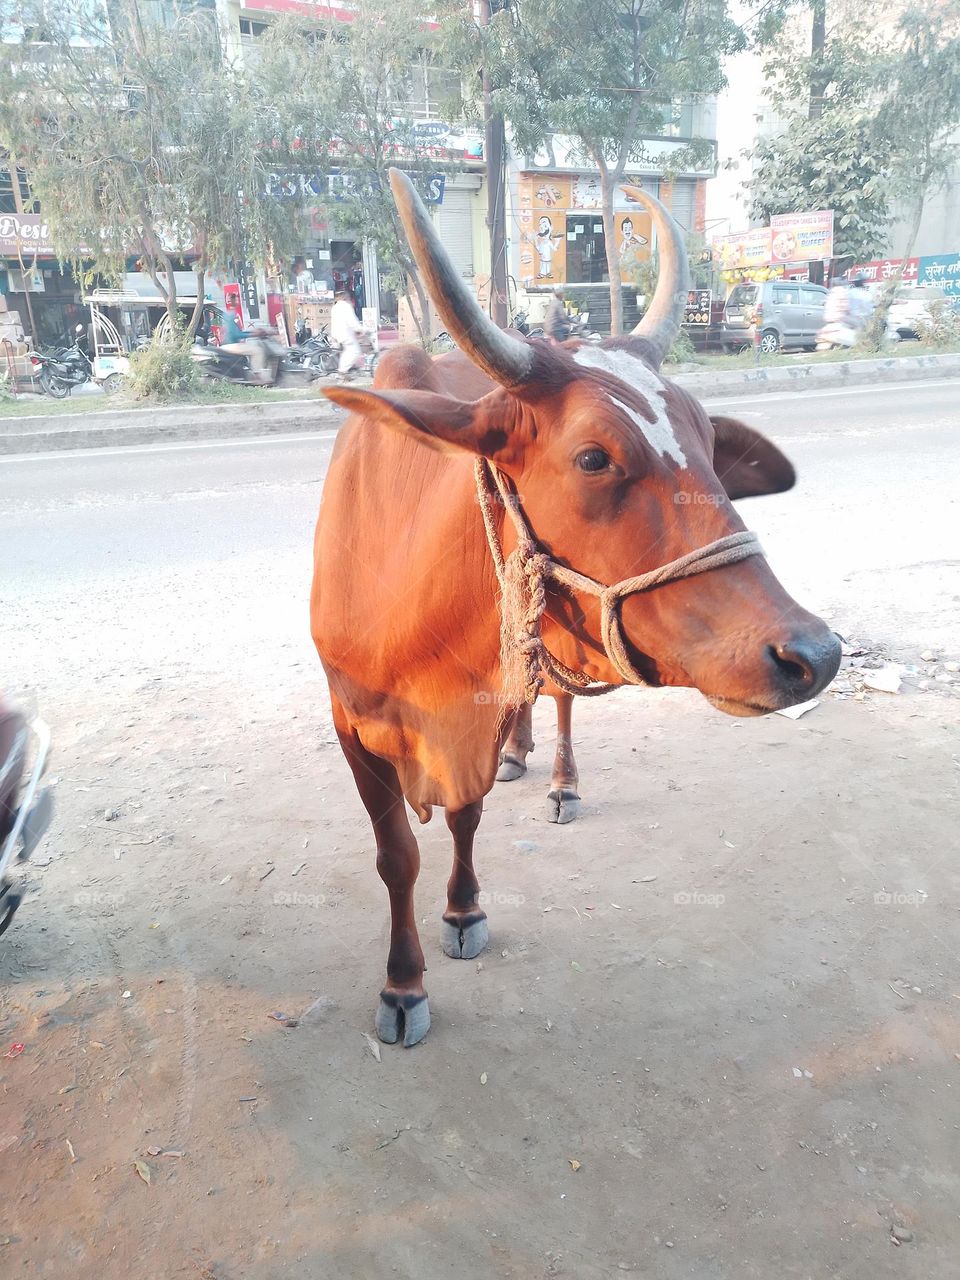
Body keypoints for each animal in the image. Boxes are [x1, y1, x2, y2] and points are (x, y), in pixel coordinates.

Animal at [312, 169, 840, 1047]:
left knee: (556, 700)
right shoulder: (351, 721)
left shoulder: (480, 708)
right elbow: (397, 857)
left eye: (709, 443)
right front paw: (402, 985)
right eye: (594, 457)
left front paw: (463, 912)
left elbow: (465, 819)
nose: (815, 653)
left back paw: (556, 776)